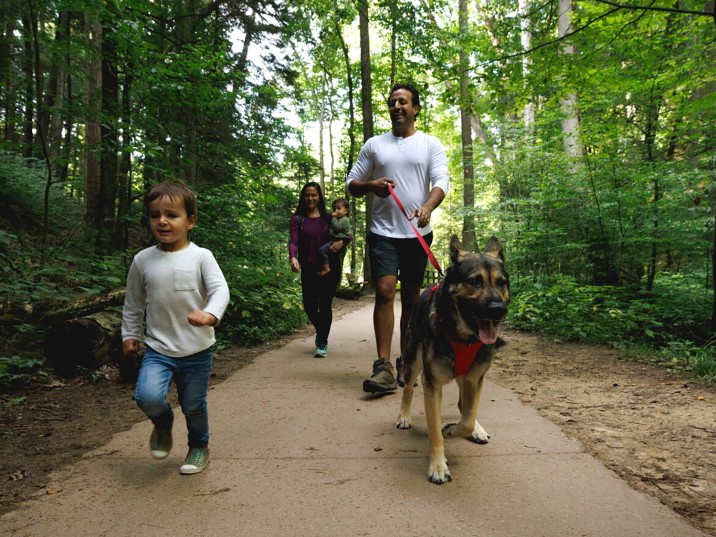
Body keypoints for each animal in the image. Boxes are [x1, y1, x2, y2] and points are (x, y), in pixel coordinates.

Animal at [398, 237, 510, 484]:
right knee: (408, 388)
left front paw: (454, 429)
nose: (498, 310)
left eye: (502, 283)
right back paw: (404, 416)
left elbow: (467, 420)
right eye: (475, 281)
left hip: (464, 378)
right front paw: (438, 466)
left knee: (464, 406)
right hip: (413, 362)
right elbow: (435, 431)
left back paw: (476, 428)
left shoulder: (475, 379)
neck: (463, 337)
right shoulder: (432, 384)